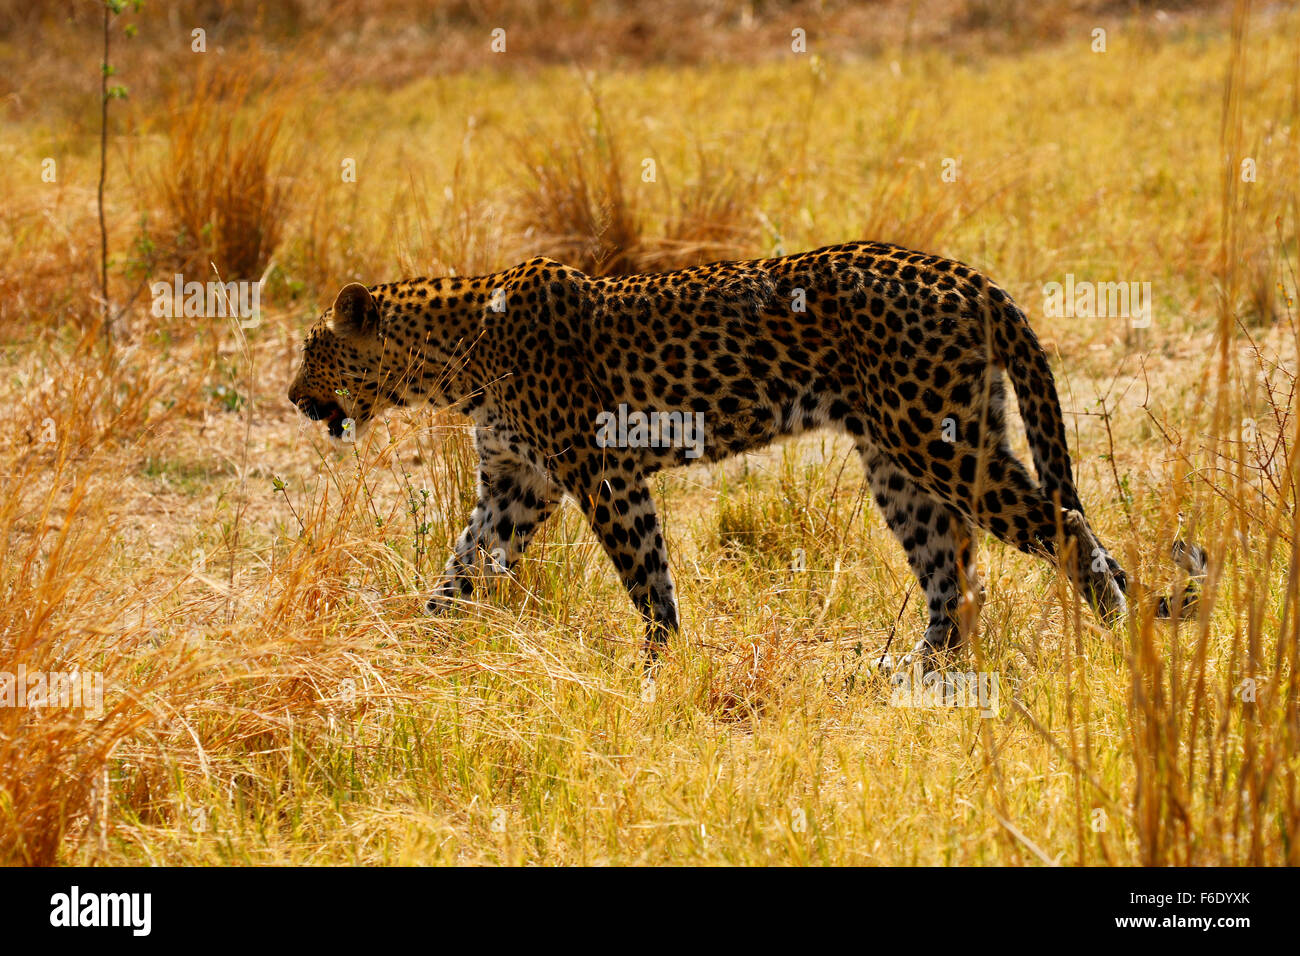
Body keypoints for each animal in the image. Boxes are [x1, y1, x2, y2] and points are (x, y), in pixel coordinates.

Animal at [288, 240, 1205, 673]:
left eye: (312, 353)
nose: (294, 397)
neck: (452, 358)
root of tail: (968, 275)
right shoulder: (518, 485)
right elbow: (461, 569)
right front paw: (415, 647)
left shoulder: (600, 471)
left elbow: (645, 574)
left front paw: (656, 667)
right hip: (907, 454)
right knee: (956, 573)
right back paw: (911, 672)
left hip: (934, 441)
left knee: (1063, 528)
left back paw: (1115, 633)